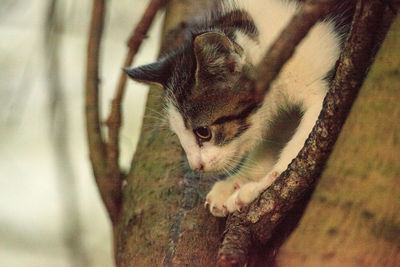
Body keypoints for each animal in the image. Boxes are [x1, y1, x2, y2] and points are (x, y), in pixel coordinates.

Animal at [125, 0, 354, 218]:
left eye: (203, 132)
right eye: (178, 134)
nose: (196, 166)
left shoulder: (323, 88)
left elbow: (304, 143)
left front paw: (262, 185)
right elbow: (273, 136)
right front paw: (238, 181)